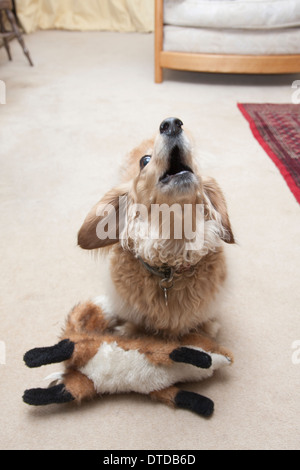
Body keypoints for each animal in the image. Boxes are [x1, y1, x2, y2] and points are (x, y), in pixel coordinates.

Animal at [77, 117, 234, 338]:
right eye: (145, 160)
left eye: (193, 159)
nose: (171, 123)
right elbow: (134, 324)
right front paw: (128, 331)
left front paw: (207, 328)